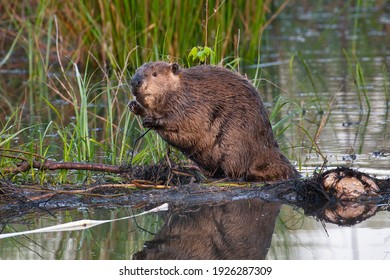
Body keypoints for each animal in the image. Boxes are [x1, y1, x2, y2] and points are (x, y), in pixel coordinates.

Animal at [129, 61, 298, 182]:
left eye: (154, 74)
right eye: (136, 71)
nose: (135, 82)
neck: (181, 87)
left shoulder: (191, 102)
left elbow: (183, 119)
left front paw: (151, 120)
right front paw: (134, 106)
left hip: (235, 141)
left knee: (238, 170)